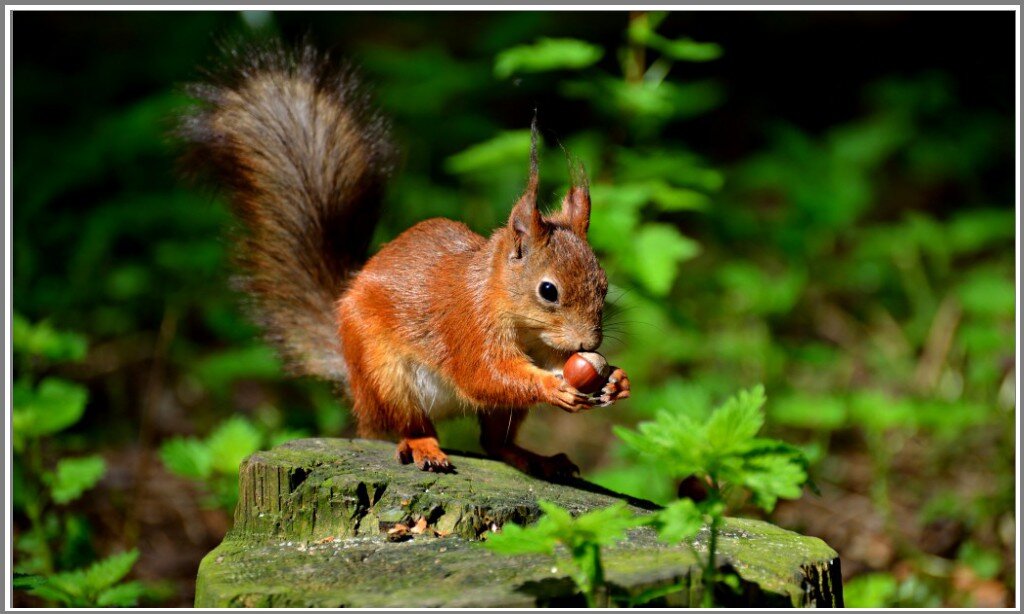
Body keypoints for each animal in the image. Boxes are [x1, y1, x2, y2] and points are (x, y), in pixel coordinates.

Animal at [180, 41, 626, 478]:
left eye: (604, 285)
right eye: (548, 291)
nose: (590, 343)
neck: (508, 308)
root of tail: (354, 380)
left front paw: (616, 381)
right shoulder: (467, 327)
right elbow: (486, 375)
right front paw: (555, 386)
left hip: (488, 411)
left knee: (494, 443)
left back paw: (533, 457)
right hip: (386, 376)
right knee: (407, 424)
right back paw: (423, 445)